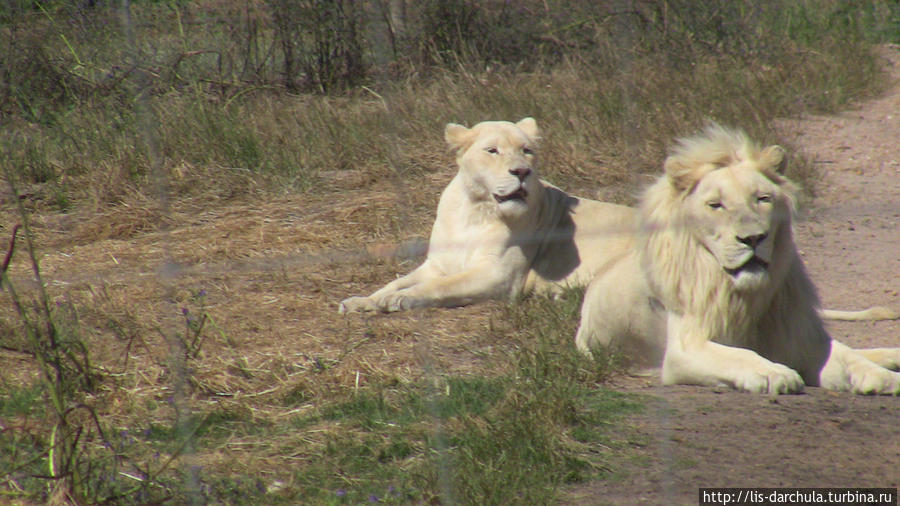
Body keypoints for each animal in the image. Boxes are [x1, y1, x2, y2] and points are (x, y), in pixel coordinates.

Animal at [338, 117, 632, 312]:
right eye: (492, 150)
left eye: (527, 150)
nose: (522, 171)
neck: (475, 211)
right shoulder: (437, 264)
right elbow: (394, 282)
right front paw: (362, 302)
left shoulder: (499, 275)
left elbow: (443, 285)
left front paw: (399, 299)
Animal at [576, 124, 900, 394]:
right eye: (715, 205)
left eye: (762, 199)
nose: (753, 239)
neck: (743, 294)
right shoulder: (685, 347)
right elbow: (740, 355)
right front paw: (775, 374)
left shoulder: (800, 337)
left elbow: (845, 356)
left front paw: (884, 377)